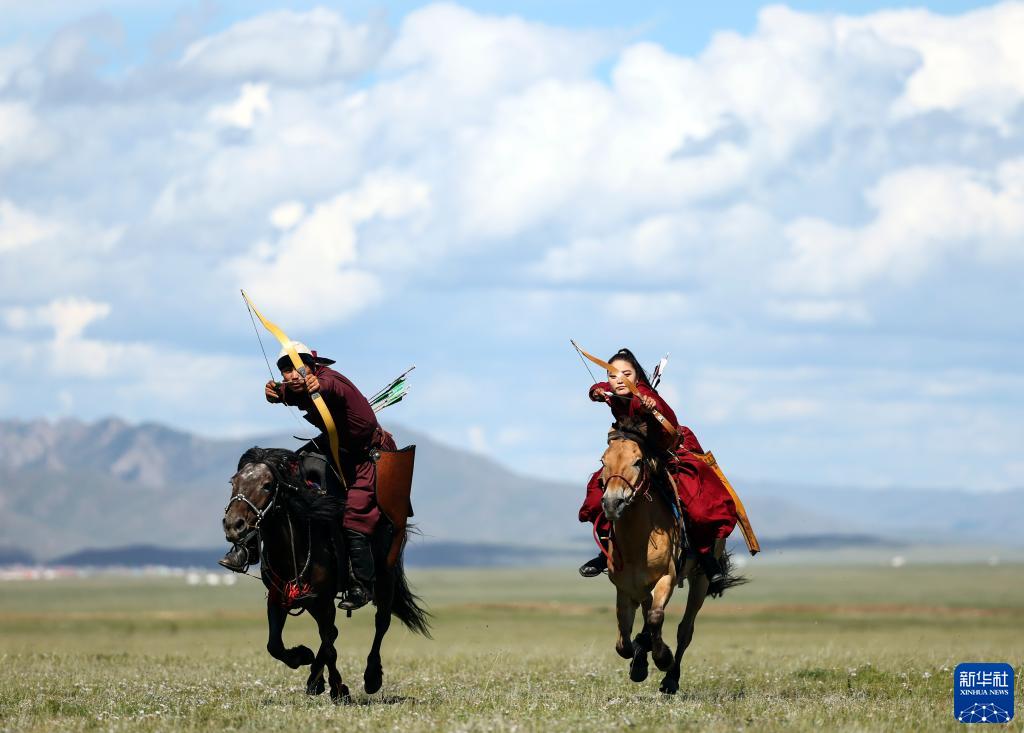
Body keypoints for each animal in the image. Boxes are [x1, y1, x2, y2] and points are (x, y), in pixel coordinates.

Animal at [222, 446, 430, 702]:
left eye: (267, 485)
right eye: (234, 482)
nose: (233, 525)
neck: (293, 546)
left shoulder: (324, 600)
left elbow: (329, 645)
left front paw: (339, 689)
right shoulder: (279, 596)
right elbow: (275, 644)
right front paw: (302, 657)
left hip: (384, 581)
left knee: (380, 623)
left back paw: (371, 678)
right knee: (332, 633)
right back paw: (315, 679)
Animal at [598, 417, 742, 695]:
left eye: (638, 461)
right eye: (603, 461)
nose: (612, 503)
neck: (638, 541)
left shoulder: (667, 578)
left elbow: (656, 618)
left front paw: (662, 658)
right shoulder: (625, 587)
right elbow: (623, 640)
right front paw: (638, 661)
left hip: (700, 580)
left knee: (685, 629)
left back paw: (671, 679)